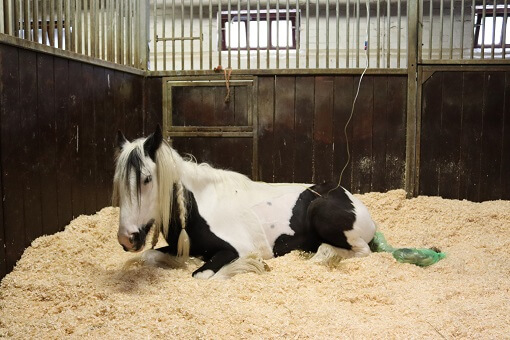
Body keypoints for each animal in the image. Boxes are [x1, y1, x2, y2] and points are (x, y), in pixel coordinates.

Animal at [114, 125, 378, 278]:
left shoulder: (234, 249)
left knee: (360, 251)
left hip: (322, 212)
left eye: (147, 179)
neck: (200, 206)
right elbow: (149, 256)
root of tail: (346, 194)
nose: (126, 238)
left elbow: (202, 275)